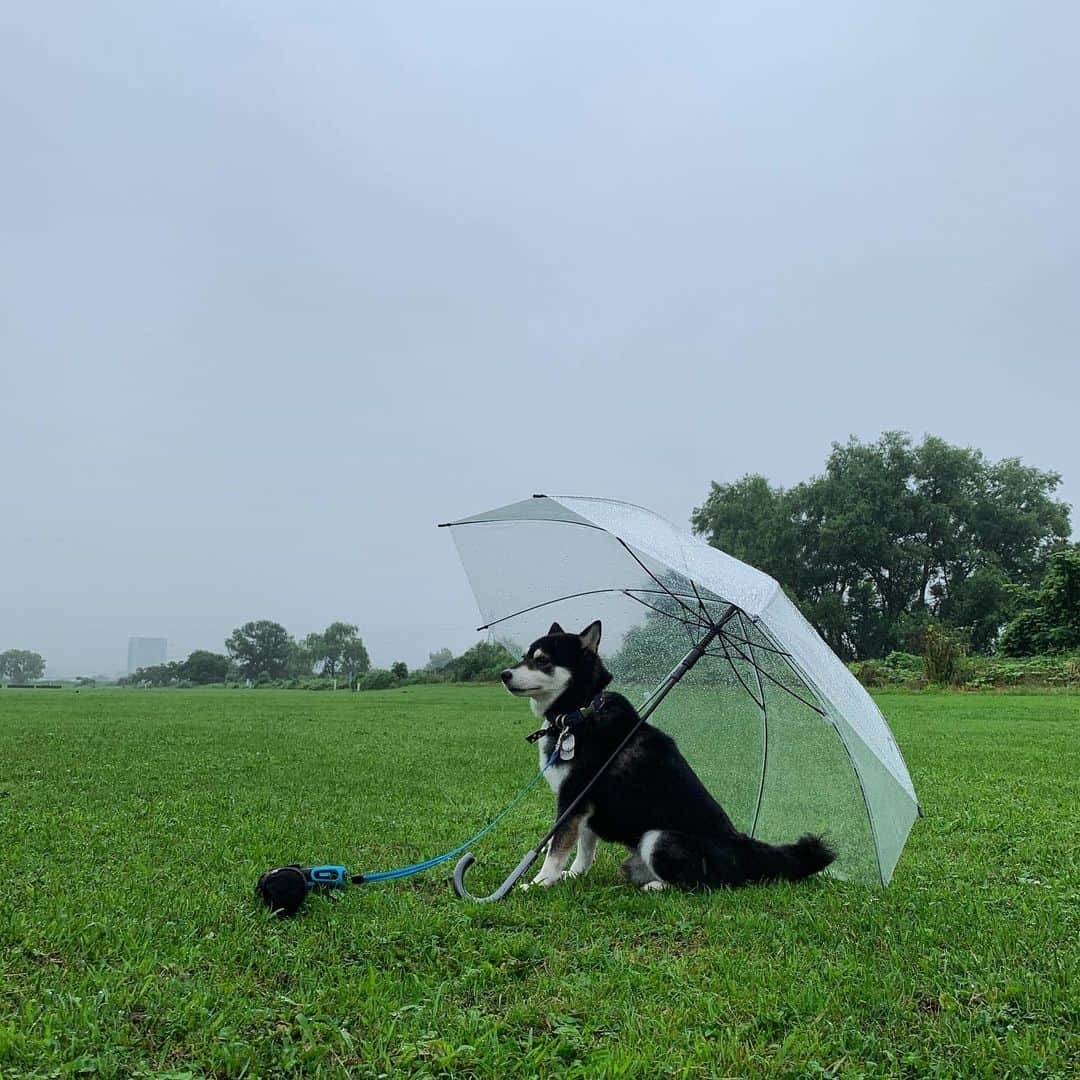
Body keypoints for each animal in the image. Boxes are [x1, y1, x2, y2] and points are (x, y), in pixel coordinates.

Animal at [498, 622, 833, 889]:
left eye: (542, 661)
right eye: (525, 656)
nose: (504, 674)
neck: (580, 713)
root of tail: (743, 850)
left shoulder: (574, 799)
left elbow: (557, 848)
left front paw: (540, 882)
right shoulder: (584, 808)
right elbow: (584, 847)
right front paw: (574, 875)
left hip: (658, 837)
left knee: (701, 884)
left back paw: (658, 887)